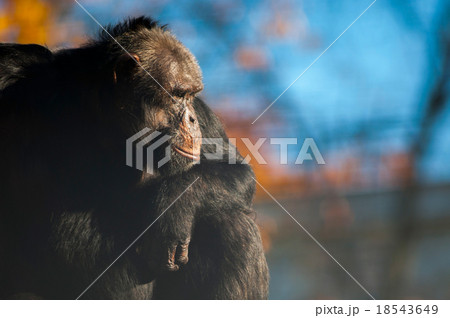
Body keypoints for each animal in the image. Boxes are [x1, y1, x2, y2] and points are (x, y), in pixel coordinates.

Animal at [0, 16, 268, 300]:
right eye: (177, 94)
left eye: (191, 95)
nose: (192, 119)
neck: (103, 120)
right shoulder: (10, 66)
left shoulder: (204, 112)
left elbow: (235, 169)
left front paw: (175, 208)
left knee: (231, 223)